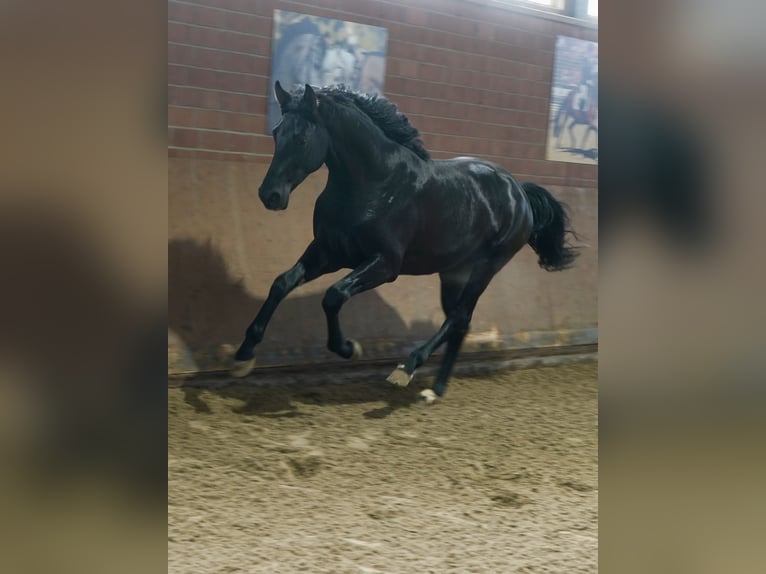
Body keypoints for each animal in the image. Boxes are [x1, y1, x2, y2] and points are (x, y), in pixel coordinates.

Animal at [231, 83, 580, 402]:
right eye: (276, 133)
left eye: (302, 138)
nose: (269, 195)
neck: (373, 183)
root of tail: (518, 191)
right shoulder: (328, 252)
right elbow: (282, 283)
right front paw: (244, 356)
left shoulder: (385, 264)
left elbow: (333, 295)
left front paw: (349, 348)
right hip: (453, 273)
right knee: (460, 322)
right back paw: (435, 390)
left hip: (486, 267)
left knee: (458, 317)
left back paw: (406, 368)